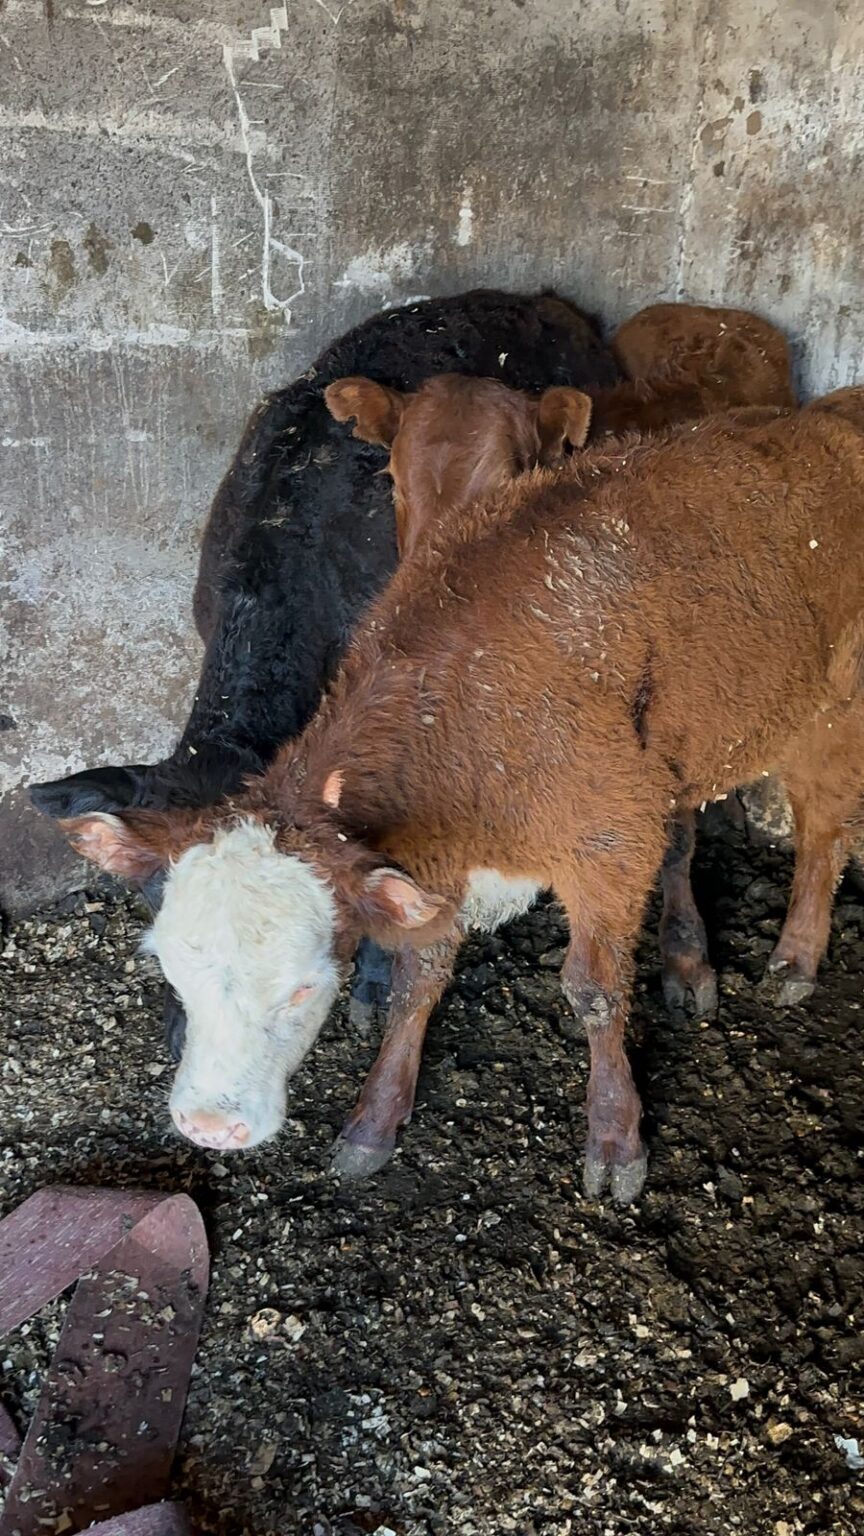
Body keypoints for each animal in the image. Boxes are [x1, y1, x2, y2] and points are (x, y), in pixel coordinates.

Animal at [63, 384, 860, 1198]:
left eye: (304, 987)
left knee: (824, 828)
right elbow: (416, 979)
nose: (206, 1126)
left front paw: (615, 1139)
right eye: (170, 965)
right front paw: (376, 1118)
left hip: (830, 715)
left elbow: (595, 991)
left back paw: (795, 957)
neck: (461, 707)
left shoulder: (610, 841)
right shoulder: (427, 866)